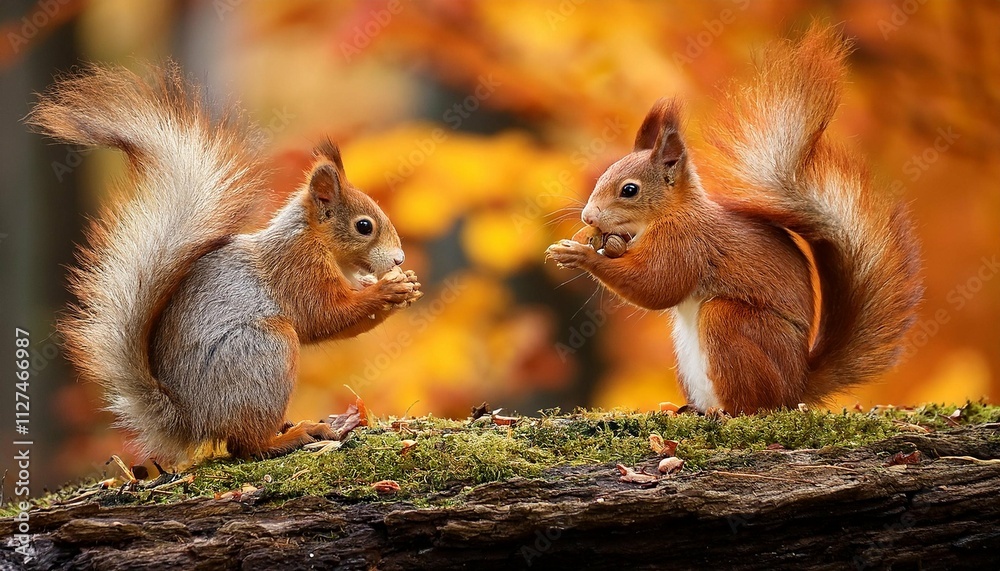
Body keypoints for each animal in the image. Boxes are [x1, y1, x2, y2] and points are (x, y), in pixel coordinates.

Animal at [28, 63, 422, 463]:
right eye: (364, 226)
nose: (399, 258)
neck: (316, 241)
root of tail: (192, 420)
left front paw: (405, 286)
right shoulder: (295, 266)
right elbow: (323, 316)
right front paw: (389, 289)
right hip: (264, 350)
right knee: (243, 445)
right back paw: (290, 437)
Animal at [546, 25, 922, 414]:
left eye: (630, 190)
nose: (589, 215)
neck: (668, 214)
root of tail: (796, 388)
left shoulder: (686, 242)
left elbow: (658, 286)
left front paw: (581, 255)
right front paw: (587, 237)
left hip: (730, 325)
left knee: (751, 403)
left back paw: (724, 411)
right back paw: (684, 408)